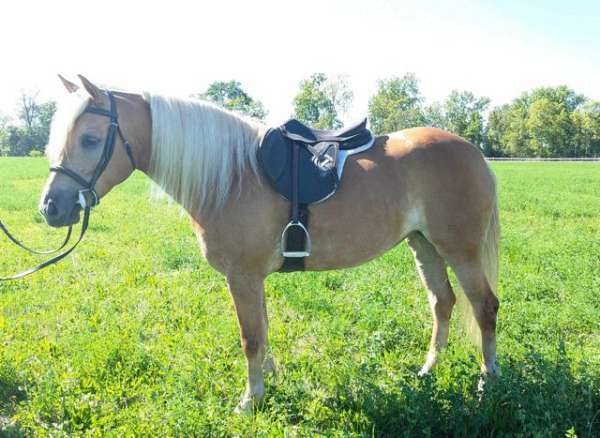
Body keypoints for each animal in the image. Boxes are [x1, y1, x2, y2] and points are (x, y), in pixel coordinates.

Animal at [39, 73, 500, 412]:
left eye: (90, 140)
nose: (51, 208)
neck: (232, 176)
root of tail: (474, 152)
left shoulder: (242, 276)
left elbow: (250, 336)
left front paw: (250, 399)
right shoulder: (252, 277)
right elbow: (262, 328)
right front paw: (270, 380)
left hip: (460, 249)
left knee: (485, 307)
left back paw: (486, 382)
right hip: (424, 245)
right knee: (443, 302)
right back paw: (429, 369)